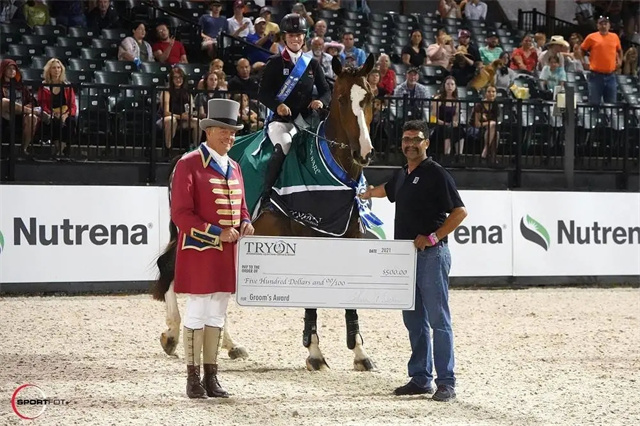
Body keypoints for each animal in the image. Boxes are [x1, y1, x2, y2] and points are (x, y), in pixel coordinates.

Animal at [152, 53, 377, 371]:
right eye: (343, 99)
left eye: (369, 98)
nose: (363, 153)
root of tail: (185, 155)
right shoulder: (307, 239)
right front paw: (315, 353)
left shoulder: (350, 239)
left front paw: (359, 354)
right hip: (198, 231)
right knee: (170, 266)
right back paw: (172, 335)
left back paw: (230, 344)